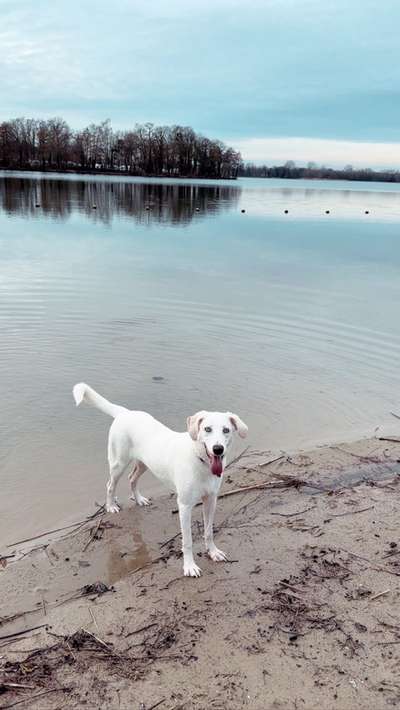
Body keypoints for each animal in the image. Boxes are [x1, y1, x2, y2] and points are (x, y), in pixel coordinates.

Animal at [72, 384, 247, 580]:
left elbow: (208, 531)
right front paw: (189, 566)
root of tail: (124, 413)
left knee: (132, 478)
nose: (218, 449)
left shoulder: (211, 500)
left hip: (143, 464)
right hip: (118, 463)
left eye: (226, 430)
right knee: (110, 485)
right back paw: (111, 506)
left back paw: (139, 499)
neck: (201, 461)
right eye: (207, 429)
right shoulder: (185, 506)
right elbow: (187, 541)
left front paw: (213, 552)